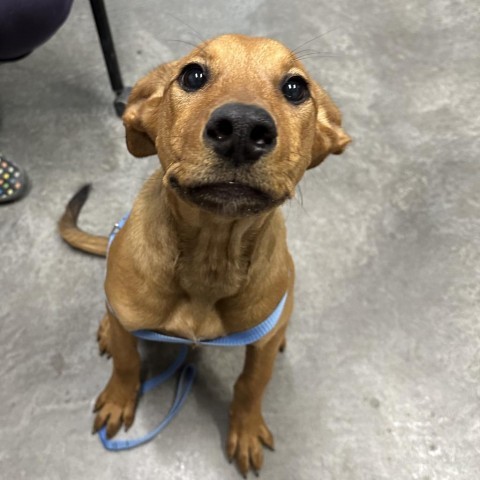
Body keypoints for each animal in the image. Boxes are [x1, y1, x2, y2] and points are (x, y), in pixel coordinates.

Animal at [59, 34, 348, 476]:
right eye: (192, 75)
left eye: (296, 87)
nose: (243, 129)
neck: (210, 256)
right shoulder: (128, 316)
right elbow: (126, 362)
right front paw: (119, 398)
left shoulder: (259, 342)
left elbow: (251, 384)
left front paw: (246, 429)